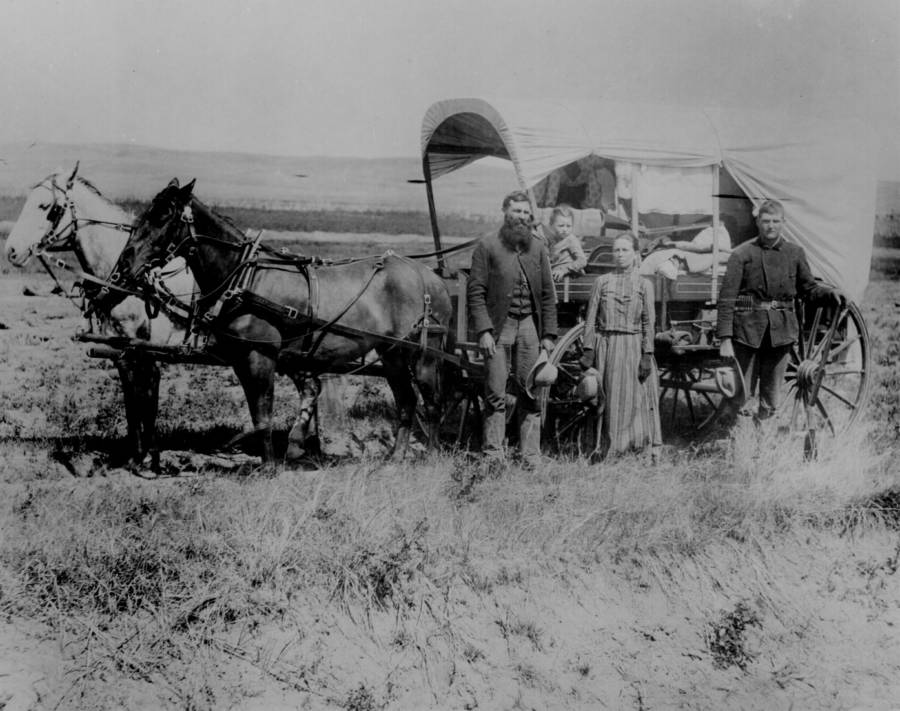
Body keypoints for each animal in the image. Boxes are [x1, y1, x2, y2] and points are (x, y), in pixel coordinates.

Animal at [102, 178, 454, 468]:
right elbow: (258, 413)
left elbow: (263, 411)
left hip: (424, 354)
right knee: (407, 401)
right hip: (392, 354)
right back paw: (396, 458)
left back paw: (433, 458)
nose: (125, 264)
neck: (244, 277)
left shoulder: (261, 357)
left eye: (164, 216)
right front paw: (272, 460)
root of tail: (430, 277)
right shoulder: (241, 359)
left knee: (433, 403)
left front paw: (270, 466)